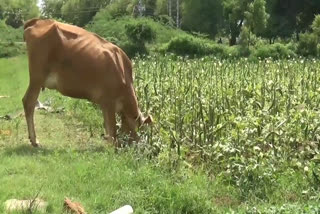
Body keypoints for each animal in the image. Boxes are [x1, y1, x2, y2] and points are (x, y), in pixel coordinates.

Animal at [22, 18, 152, 147]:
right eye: (141, 130)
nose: (139, 146)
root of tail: (38, 21)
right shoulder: (109, 101)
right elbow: (112, 129)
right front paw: (112, 147)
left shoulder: (104, 104)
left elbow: (108, 127)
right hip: (37, 78)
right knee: (29, 102)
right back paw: (34, 140)